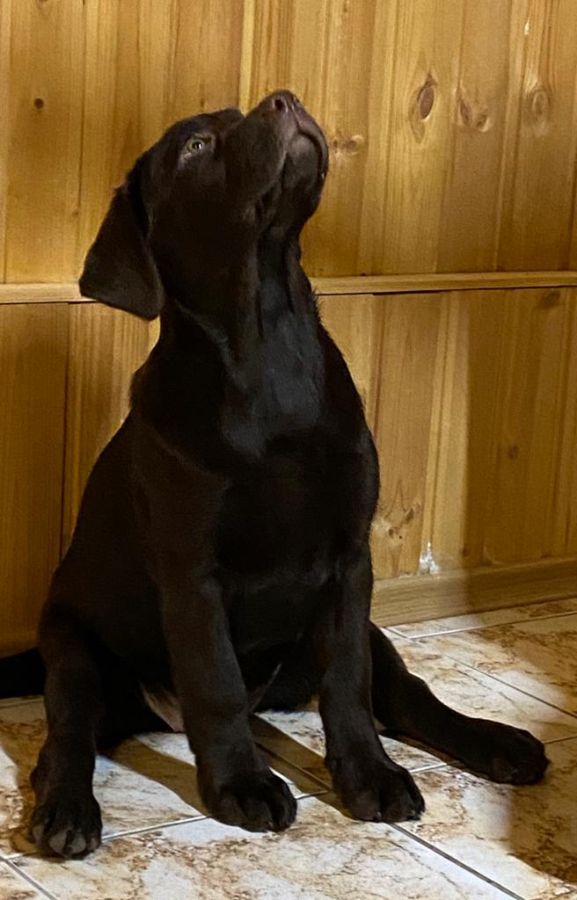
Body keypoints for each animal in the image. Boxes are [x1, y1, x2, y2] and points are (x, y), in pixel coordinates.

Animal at [3, 91, 547, 858]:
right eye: (195, 147)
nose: (284, 99)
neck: (268, 346)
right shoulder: (192, 572)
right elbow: (217, 685)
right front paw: (242, 784)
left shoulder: (351, 564)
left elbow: (348, 688)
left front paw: (369, 775)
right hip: (75, 649)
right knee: (67, 736)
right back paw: (68, 812)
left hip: (359, 632)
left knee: (406, 694)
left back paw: (495, 742)